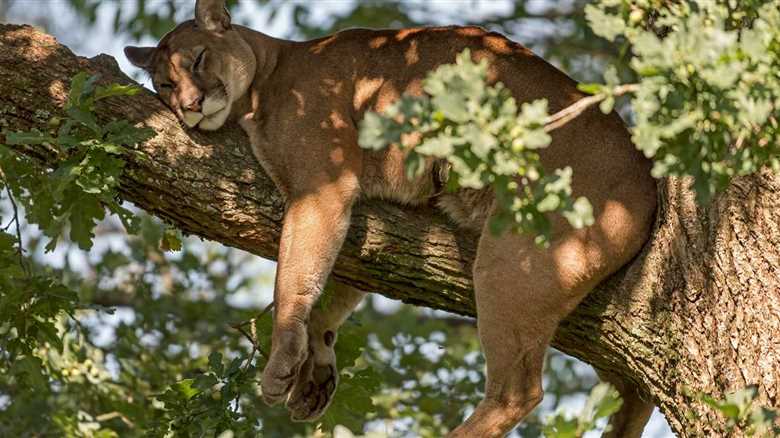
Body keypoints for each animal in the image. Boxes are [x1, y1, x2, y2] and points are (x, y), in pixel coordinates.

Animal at [125, 0, 658, 436]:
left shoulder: (323, 187)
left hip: (515, 263)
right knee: (634, 385)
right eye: (164, 84)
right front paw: (316, 364)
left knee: (520, 391)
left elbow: (294, 277)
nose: (190, 106)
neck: (265, 79)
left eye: (198, 59)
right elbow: (331, 282)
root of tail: (647, 182)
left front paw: (281, 361)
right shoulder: (360, 208)